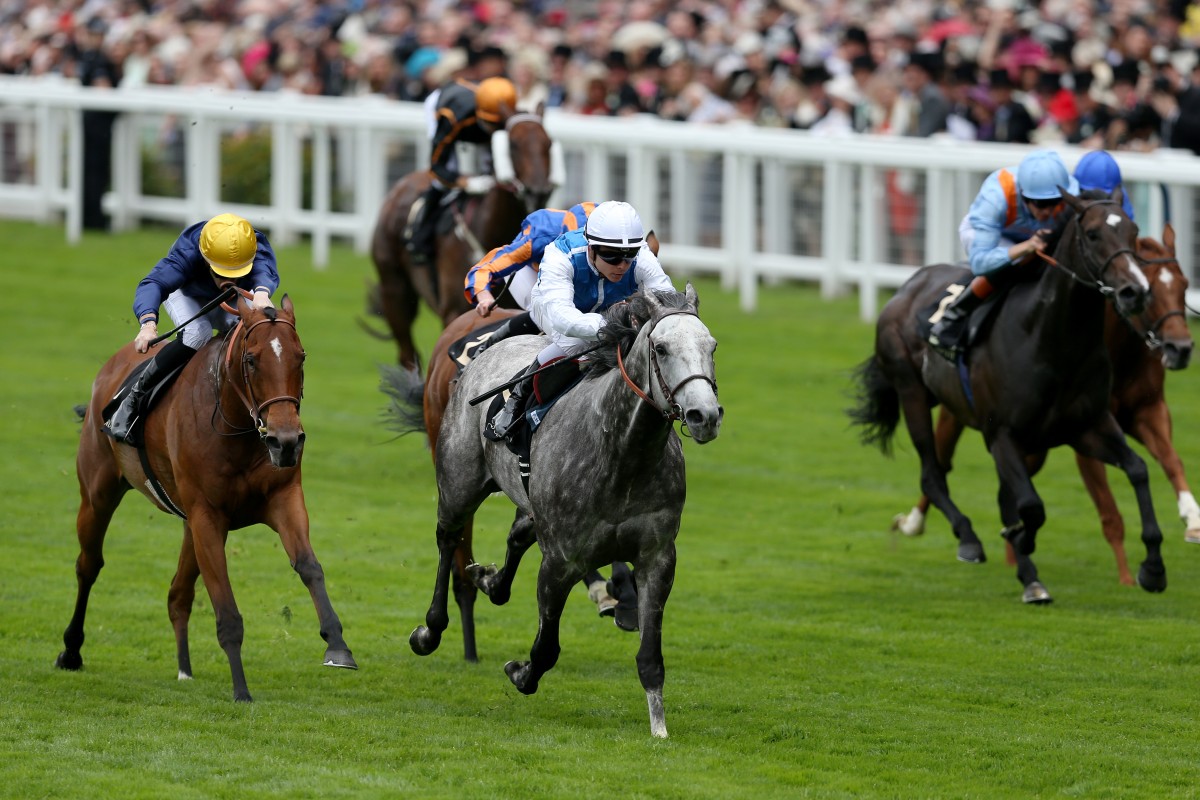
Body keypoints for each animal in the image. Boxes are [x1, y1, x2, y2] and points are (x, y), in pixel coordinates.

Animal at [59, 298, 355, 700]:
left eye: (301, 356)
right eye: (252, 360)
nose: (287, 441)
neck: (238, 426)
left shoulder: (283, 498)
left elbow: (310, 566)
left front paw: (337, 645)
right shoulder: (207, 516)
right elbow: (226, 608)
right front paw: (241, 690)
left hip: (187, 525)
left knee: (178, 593)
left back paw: (184, 668)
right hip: (97, 495)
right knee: (88, 565)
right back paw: (71, 651)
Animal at [369, 108, 556, 371]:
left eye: (548, 143)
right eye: (513, 144)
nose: (538, 192)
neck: (490, 231)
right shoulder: (453, 310)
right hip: (395, 290)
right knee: (407, 355)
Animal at [408, 286, 720, 738]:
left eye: (711, 346)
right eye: (660, 348)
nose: (705, 416)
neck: (623, 454)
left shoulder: (657, 558)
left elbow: (650, 657)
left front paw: (659, 726)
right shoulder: (560, 562)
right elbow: (547, 647)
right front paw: (520, 672)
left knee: (517, 536)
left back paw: (490, 581)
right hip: (458, 482)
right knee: (447, 539)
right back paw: (430, 629)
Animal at [849, 185, 1166, 599]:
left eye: (1134, 230)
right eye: (1093, 233)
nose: (1135, 292)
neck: (1053, 342)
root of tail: (907, 286)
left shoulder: (1087, 427)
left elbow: (1138, 470)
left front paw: (1153, 568)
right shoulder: (1001, 435)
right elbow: (1030, 506)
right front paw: (1022, 546)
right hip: (912, 393)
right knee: (932, 475)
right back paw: (969, 540)